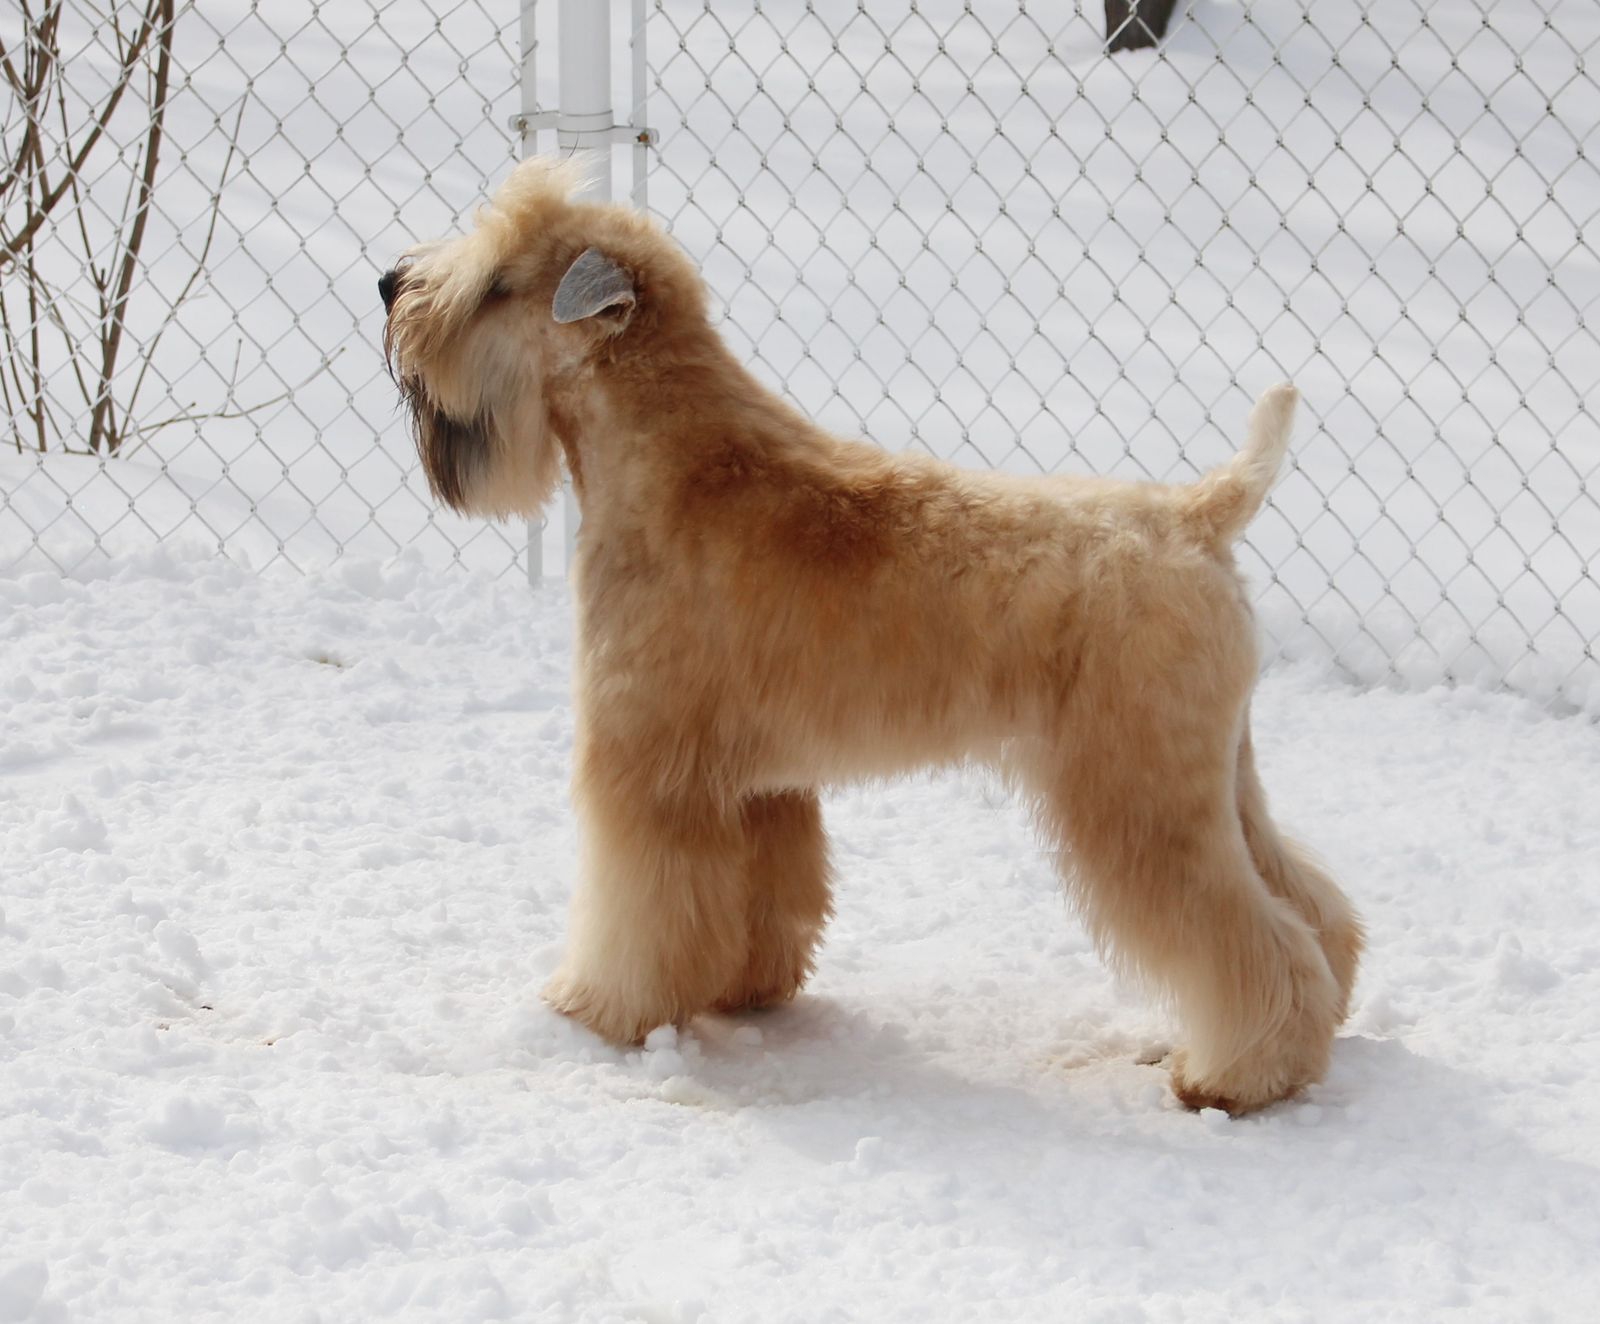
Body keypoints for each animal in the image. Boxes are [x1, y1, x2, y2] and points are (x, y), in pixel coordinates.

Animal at [380, 157, 1362, 1114]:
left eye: (497, 283)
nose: (390, 283)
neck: (679, 460)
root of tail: (1197, 516)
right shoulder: (754, 783)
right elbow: (761, 898)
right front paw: (744, 989)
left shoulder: (648, 766)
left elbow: (640, 907)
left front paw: (597, 1007)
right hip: (1216, 776)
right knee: (1307, 902)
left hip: (1141, 795)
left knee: (1252, 937)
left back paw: (1237, 1075)